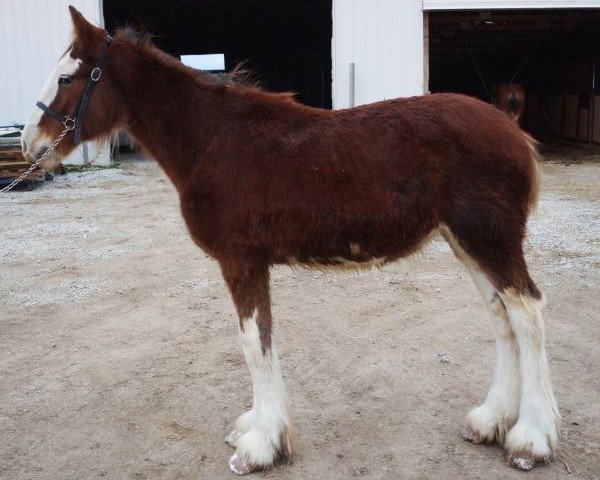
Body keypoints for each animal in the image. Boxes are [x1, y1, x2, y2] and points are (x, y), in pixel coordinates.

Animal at [21, 7, 560, 476]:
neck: (213, 139)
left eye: (67, 78)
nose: (29, 142)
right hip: (464, 240)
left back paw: (531, 439)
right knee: (502, 316)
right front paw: (258, 430)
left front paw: (261, 445)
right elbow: (261, 339)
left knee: (528, 313)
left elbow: (254, 342)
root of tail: (510, 127)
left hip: (489, 238)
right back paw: (490, 421)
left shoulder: (240, 260)